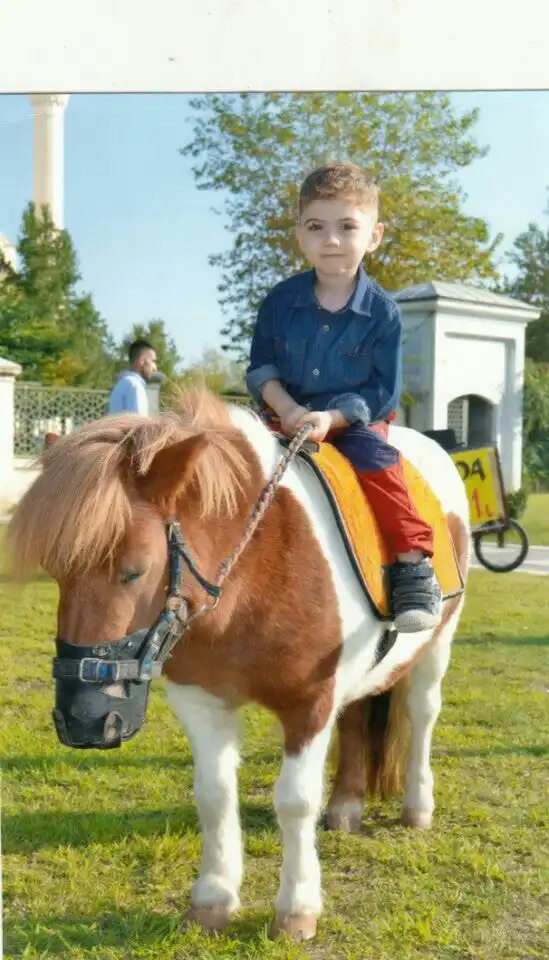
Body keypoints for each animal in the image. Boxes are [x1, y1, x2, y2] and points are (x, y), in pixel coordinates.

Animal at [8, 388, 468, 936]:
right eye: (56, 571)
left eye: (134, 571)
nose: (83, 721)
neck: (250, 577)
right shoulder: (201, 701)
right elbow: (213, 793)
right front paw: (213, 898)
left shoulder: (310, 703)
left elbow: (295, 800)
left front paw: (296, 910)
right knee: (357, 719)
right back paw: (346, 806)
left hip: (437, 646)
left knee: (422, 716)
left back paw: (418, 806)